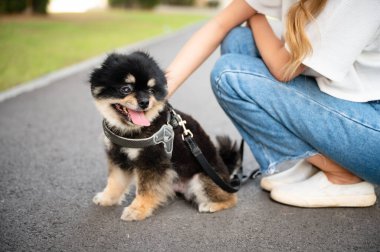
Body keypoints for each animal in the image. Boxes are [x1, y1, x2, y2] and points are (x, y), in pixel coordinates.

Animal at [89, 50, 240, 220]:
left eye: (150, 90)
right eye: (126, 89)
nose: (145, 102)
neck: (130, 131)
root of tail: (227, 174)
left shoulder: (152, 161)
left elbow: (145, 188)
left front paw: (137, 209)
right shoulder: (118, 156)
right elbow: (115, 181)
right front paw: (107, 198)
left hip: (201, 178)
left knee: (231, 197)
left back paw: (212, 205)